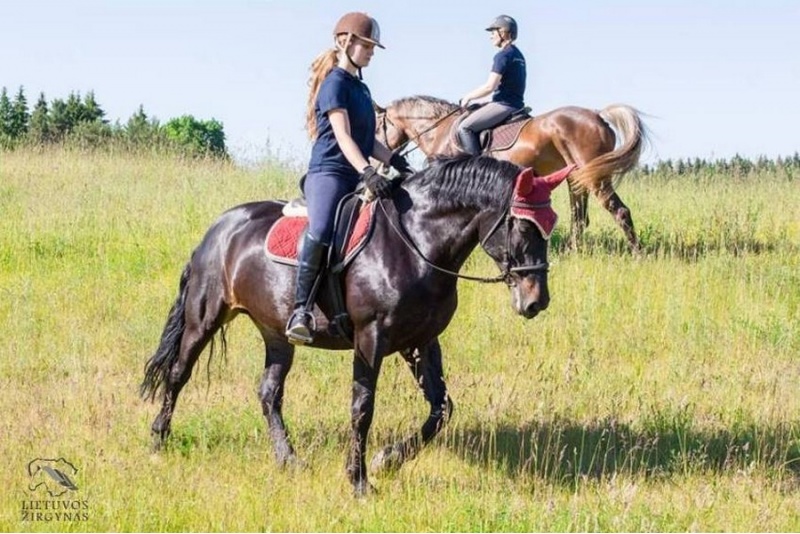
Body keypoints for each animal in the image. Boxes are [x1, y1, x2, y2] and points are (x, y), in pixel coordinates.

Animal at [139, 156, 576, 498]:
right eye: (523, 227)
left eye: (550, 224)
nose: (536, 301)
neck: (415, 243)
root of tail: (218, 228)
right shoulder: (372, 337)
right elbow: (362, 408)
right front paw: (359, 481)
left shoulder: (422, 340)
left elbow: (441, 408)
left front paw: (388, 460)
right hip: (205, 316)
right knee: (178, 373)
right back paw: (159, 440)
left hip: (276, 332)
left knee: (268, 393)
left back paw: (289, 459)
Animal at [376, 97, 648, 253]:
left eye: (379, 126)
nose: (379, 161)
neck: (441, 130)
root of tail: (598, 115)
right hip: (577, 178)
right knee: (579, 218)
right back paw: (575, 253)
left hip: (594, 178)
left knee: (619, 211)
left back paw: (637, 254)